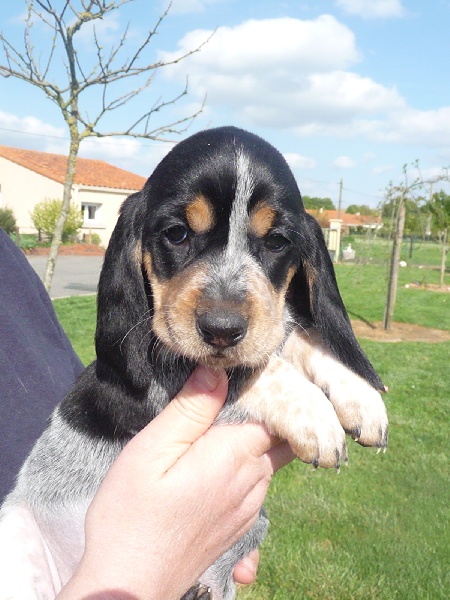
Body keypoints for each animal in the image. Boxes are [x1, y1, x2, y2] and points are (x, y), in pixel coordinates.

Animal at [0, 127, 386, 600]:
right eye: (177, 233)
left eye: (277, 241)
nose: (221, 329)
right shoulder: (166, 372)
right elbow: (251, 370)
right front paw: (315, 415)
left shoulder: (272, 326)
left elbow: (296, 337)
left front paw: (361, 396)